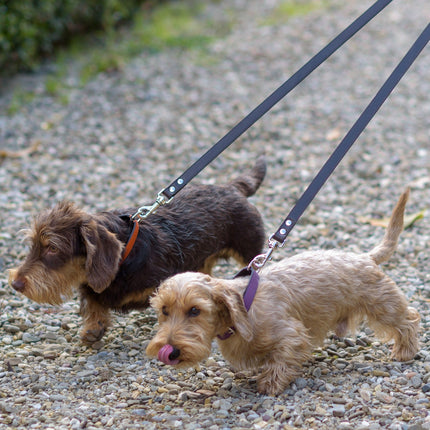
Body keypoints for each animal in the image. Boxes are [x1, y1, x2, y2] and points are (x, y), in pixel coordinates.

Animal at [9, 158, 266, 342]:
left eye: (52, 248)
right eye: (33, 245)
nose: (15, 284)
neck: (123, 261)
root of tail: (230, 188)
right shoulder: (91, 285)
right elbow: (92, 302)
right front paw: (93, 328)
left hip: (250, 249)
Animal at [147, 190, 420, 394]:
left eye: (195, 310)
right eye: (164, 310)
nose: (170, 351)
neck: (244, 309)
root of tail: (364, 257)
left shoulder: (292, 335)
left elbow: (281, 360)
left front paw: (270, 384)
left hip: (382, 305)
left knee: (409, 319)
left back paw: (404, 351)